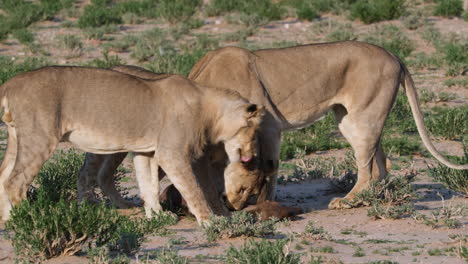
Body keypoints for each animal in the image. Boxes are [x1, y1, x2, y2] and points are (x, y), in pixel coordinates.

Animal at [0, 66, 264, 223]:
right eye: (254, 130)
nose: (252, 154)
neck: (210, 107)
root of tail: (10, 83)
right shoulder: (172, 154)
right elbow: (194, 189)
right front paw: (211, 221)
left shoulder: (146, 151)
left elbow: (148, 184)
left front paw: (156, 216)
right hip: (40, 137)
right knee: (15, 182)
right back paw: (28, 219)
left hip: (17, 137)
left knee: (4, 176)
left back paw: (8, 221)